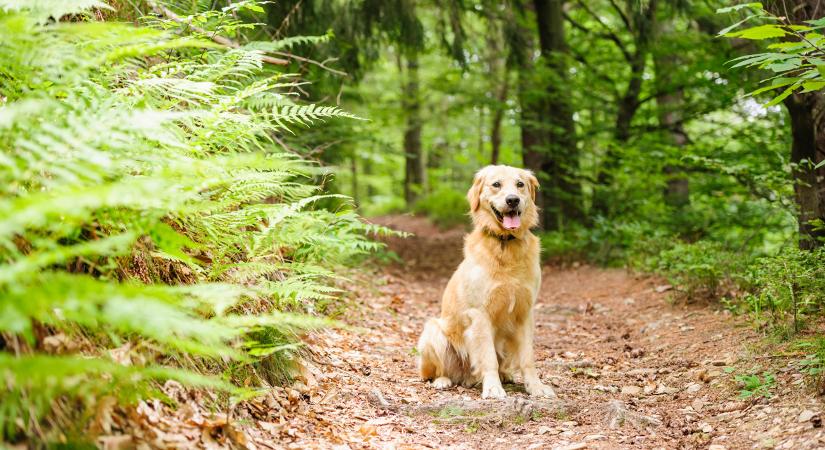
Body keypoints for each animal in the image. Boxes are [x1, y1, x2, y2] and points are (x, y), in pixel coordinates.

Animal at [418, 164, 552, 398]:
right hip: (433, 330)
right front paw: (492, 388)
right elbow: (488, 358)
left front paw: (535, 387)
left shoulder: (525, 312)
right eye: (496, 184)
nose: (513, 200)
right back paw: (443, 380)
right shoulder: (480, 314)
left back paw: (505, 375)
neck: (505, 244)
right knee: (436, 371)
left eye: (520, 184)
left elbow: (527, 358)